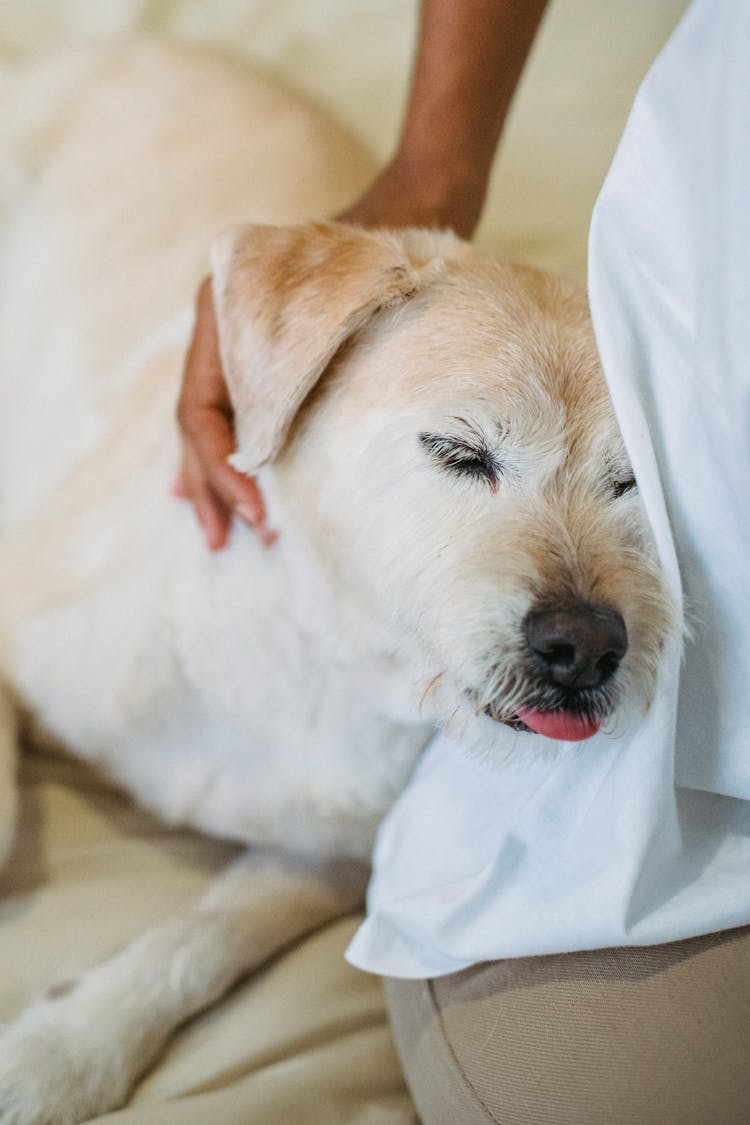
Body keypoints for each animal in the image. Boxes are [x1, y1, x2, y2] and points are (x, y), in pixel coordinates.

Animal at [0, 43, 670, 1125]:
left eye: (633, 485)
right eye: (460, 452)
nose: (587, 647)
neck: (320, 657)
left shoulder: (321, 862)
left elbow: (205, 940)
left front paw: (65, 1049)